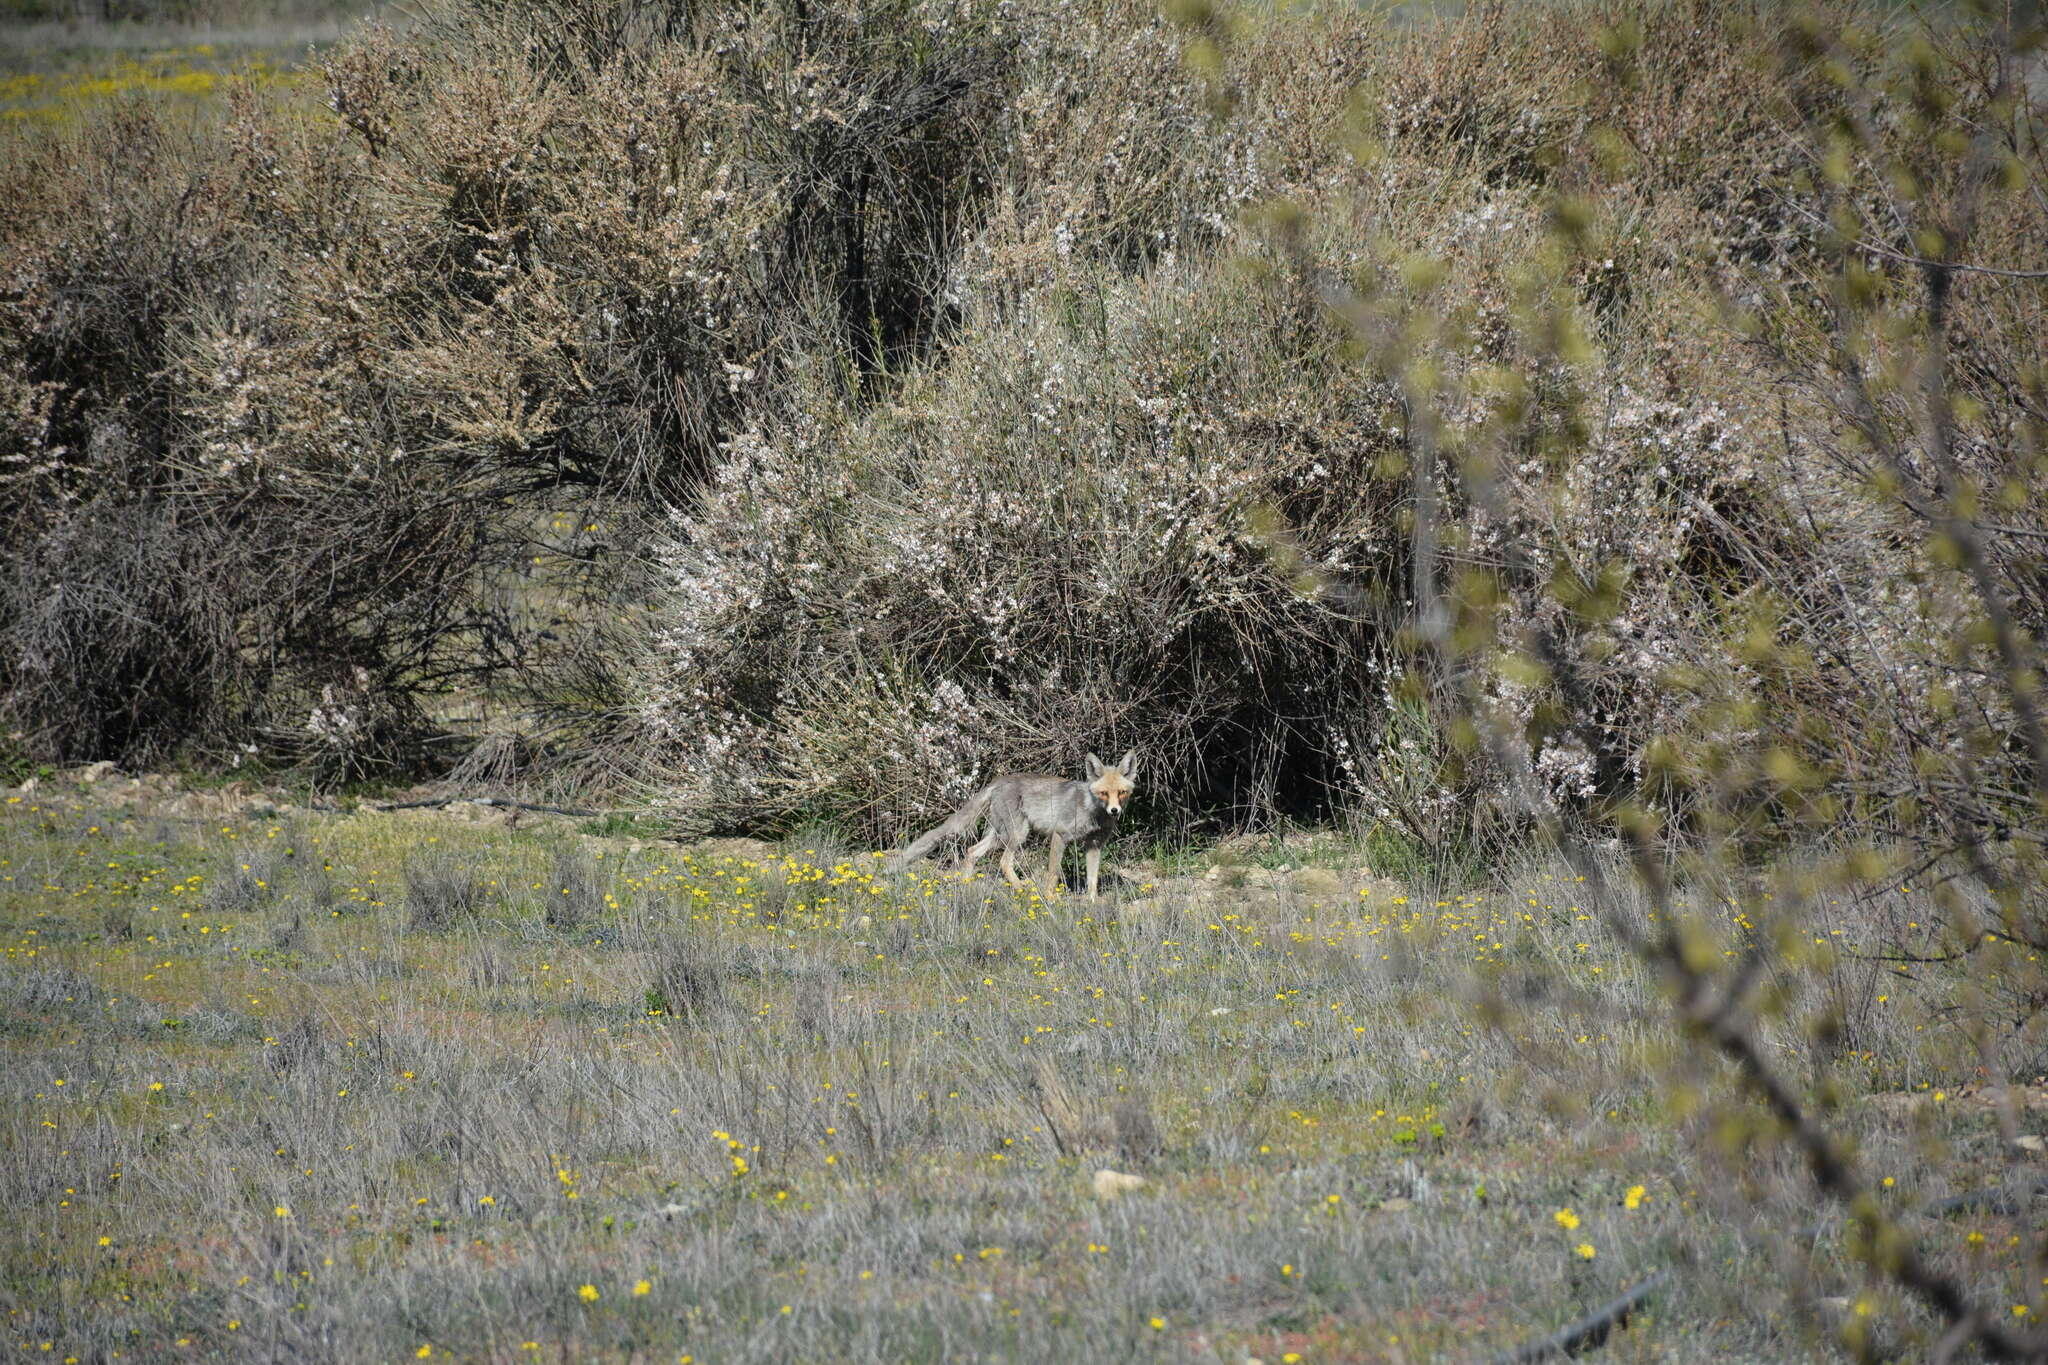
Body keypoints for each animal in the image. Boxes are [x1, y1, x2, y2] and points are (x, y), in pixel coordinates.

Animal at [884, 753, 1138, 900]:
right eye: (1104, 793)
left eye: (1121, 793)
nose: (1114, 811)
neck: (1092, 811)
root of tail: (998, 781)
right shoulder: (1060, 836)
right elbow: (1053, 873)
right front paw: (1051, 899)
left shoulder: (1094, 845)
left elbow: (1093, 880)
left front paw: (1092, 904)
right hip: (1017, 833)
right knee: (1004, 862)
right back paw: (1021, 889)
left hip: (1000, 834)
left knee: (971, 851)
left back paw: (966, 885)